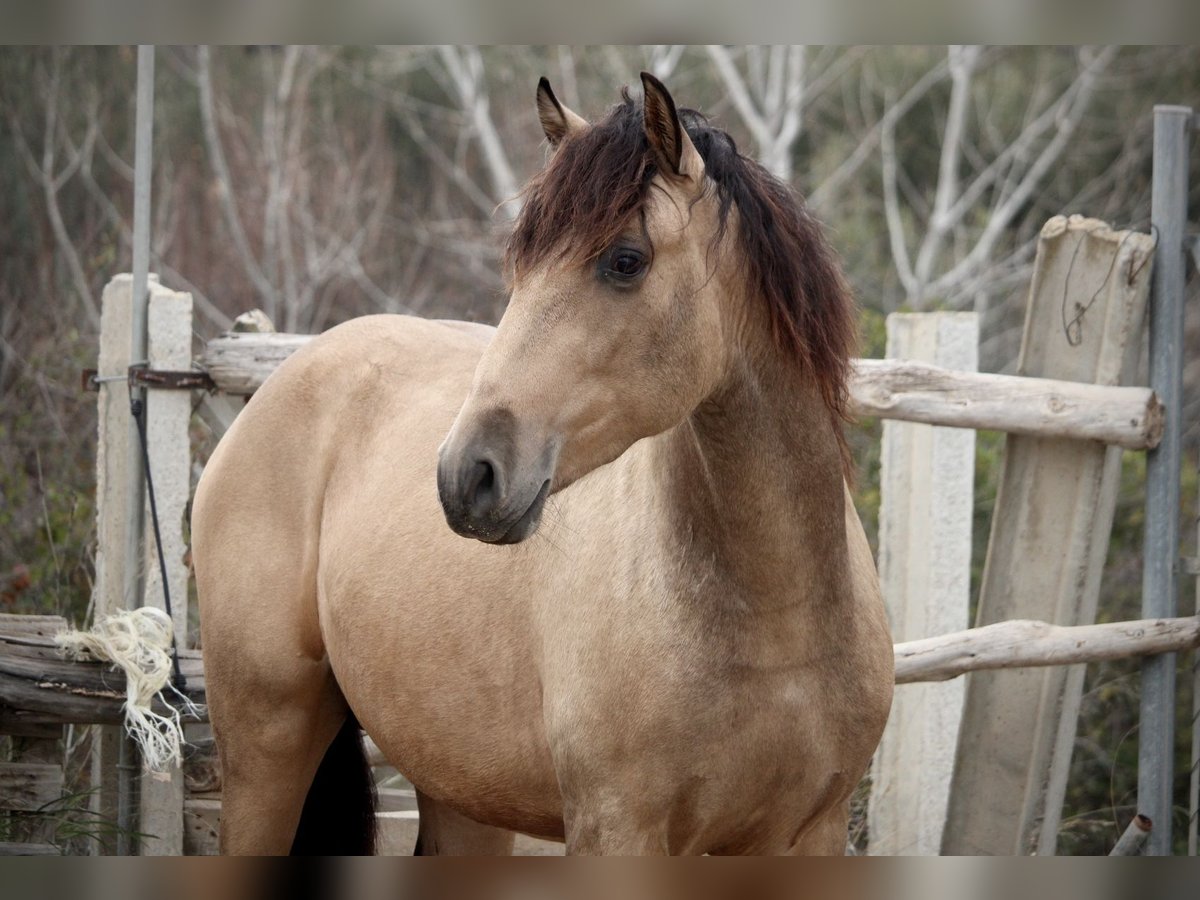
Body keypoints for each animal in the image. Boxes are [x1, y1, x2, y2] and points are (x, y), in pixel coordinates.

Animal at [189, 74, 892, 854]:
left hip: (461, 796)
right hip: (268, 746)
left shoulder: (808, 835)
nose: (467, 475)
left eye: (625, 260)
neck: (774, 624)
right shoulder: (616, 830)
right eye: (519, 266)